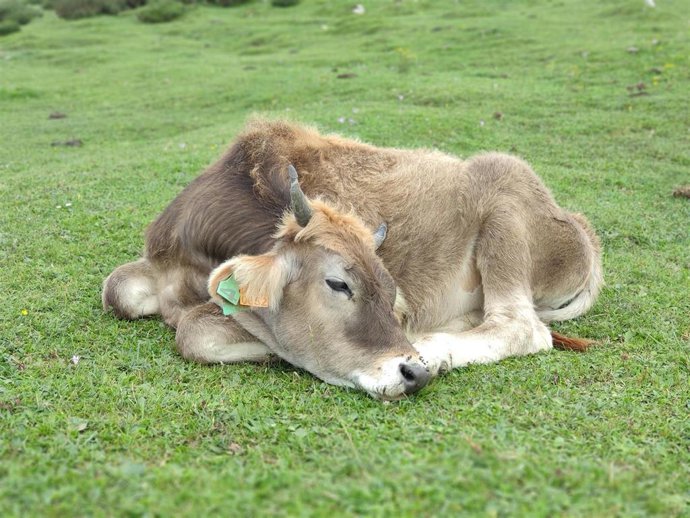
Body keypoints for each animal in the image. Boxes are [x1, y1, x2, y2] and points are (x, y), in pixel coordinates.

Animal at [102, 119, 602, 400]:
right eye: (339, 284)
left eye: (392, 294)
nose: (413, 372)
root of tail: (579, 227)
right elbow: (116, 289)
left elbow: (195, 329)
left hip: (504, 201)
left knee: (521, 327)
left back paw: (437, 346)